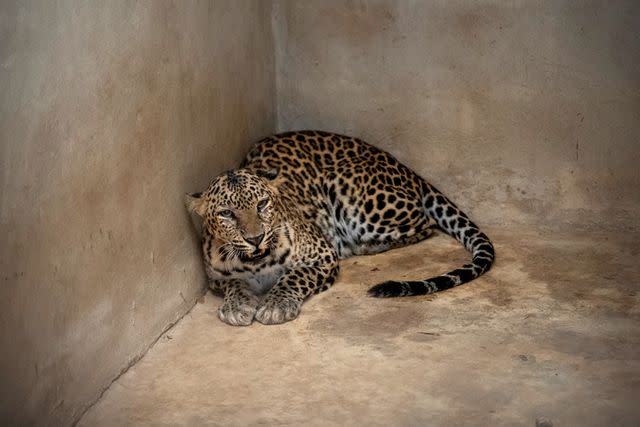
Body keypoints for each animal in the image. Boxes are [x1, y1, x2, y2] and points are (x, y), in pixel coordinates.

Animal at [185, 129, 496, 326]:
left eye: (262, 204)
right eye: (226, 214)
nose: (256, 238)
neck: (256, 262)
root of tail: (408, 169)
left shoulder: (321, 255)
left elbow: (294, 277)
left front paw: (276, 305)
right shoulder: (216, 277)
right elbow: (234, 284)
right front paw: (237, 305)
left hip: (345, 187)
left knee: (426, 224)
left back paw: (362, 246)